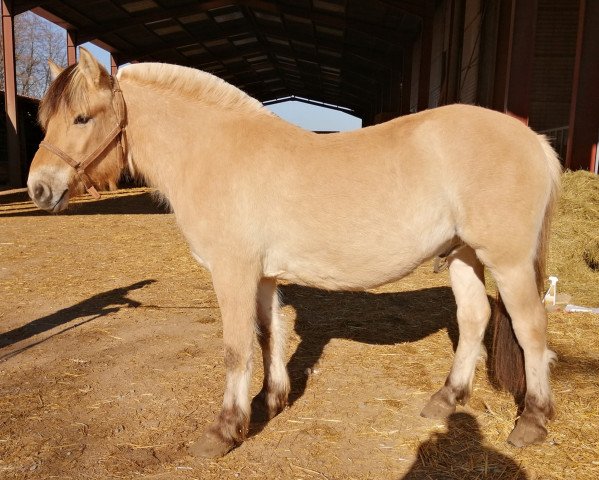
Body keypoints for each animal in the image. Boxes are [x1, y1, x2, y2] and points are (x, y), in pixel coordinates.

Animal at [27, 48, 564, 458]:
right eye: (45, 119)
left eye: (82, 117)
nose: (38, 189)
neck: (216, 152)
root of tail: (533, 139)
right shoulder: (263, 276)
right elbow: (269, 334)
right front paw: (274, 399)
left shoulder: (234, 272)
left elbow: (236, 348)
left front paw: (224, 431)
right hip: (463, 254)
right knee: (474, 319)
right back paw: (447, 398)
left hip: (508, 262)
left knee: (531, 330)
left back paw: (532, 422)